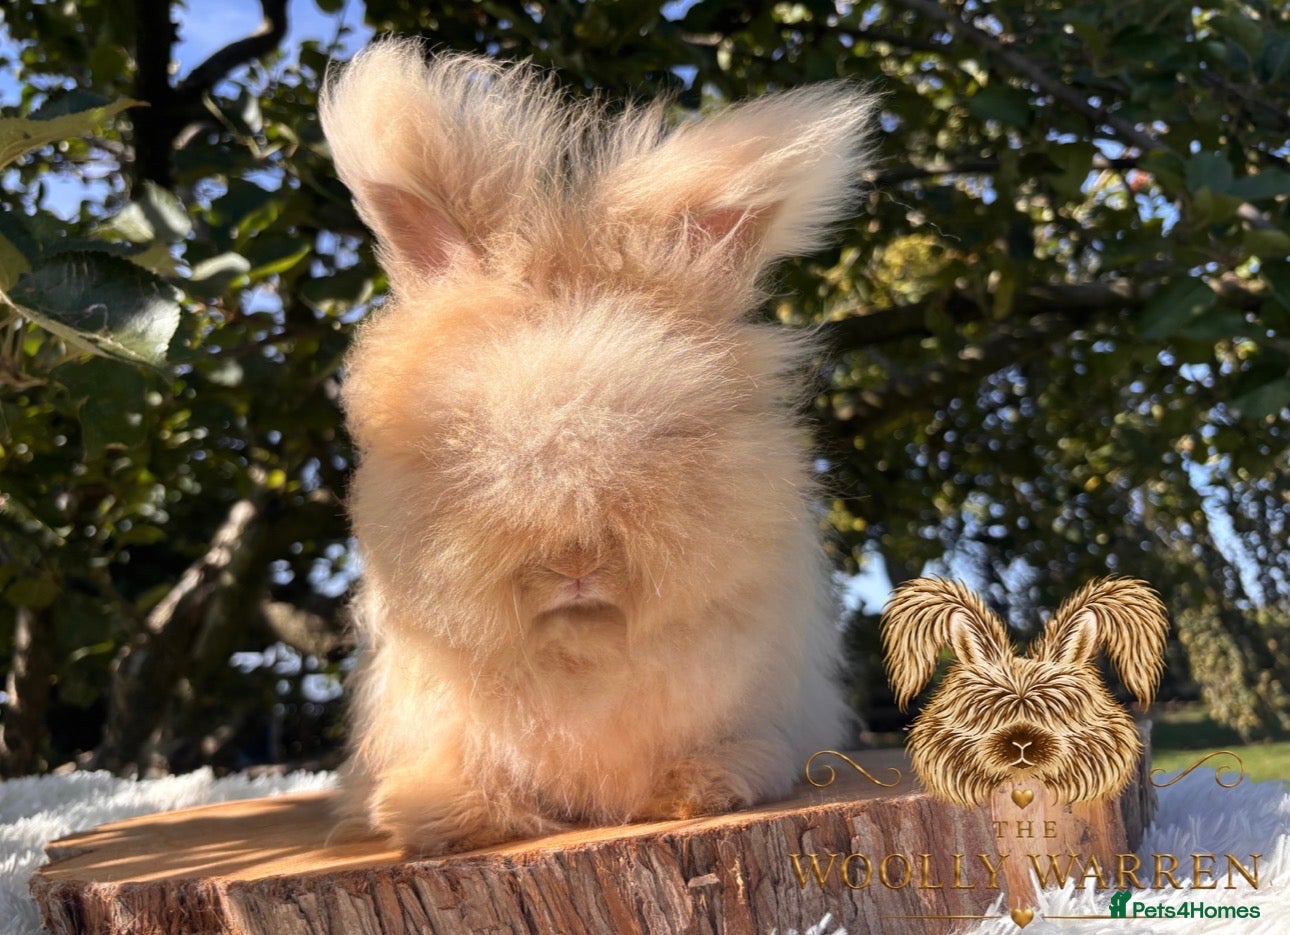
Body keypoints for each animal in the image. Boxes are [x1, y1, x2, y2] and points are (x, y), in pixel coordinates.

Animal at [318, 39, 875, 855]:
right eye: (464, 444)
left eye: (671, 434)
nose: (575, 562)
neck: (580, 649)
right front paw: (430, 814)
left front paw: (702, 787)